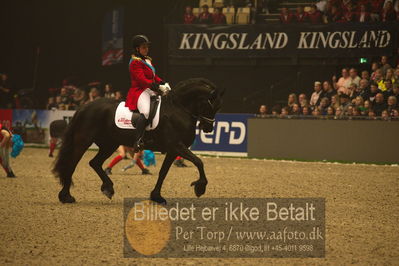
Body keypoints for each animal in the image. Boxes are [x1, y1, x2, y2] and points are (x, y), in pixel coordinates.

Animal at [51, 78, 223, 204]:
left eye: (218, 108)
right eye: (211, 106)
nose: (208, 128)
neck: (178, 109)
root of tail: (84, 106)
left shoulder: (173, 150)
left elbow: (163, 172)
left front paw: (156, 196)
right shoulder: (177, 146)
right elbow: (199, 162)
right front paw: (200, 188)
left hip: (109, 144)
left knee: (95, 163)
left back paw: (108, 188)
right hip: (83, 142)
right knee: (72, 164)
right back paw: (66, 196)